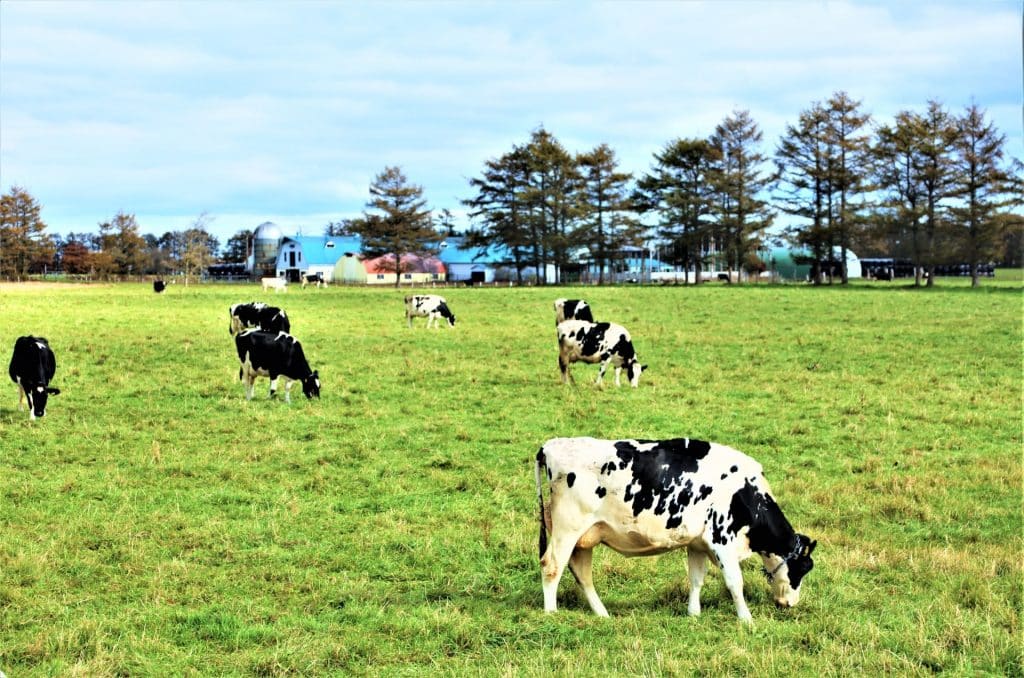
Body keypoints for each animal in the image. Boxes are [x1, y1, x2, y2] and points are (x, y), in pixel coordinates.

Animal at [536, 438, 815, 622]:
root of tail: (550, 446)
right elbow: (735, 581)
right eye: (803, 569)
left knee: (582, 574)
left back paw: (602, 614)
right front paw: (746, 619)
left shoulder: (697, 543)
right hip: (568, 528)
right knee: (552, 566)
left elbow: (696, 578)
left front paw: (693, 614)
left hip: (585, 537)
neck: (745, 492)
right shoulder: (721, 538)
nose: (791, 604)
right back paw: (551, 614)